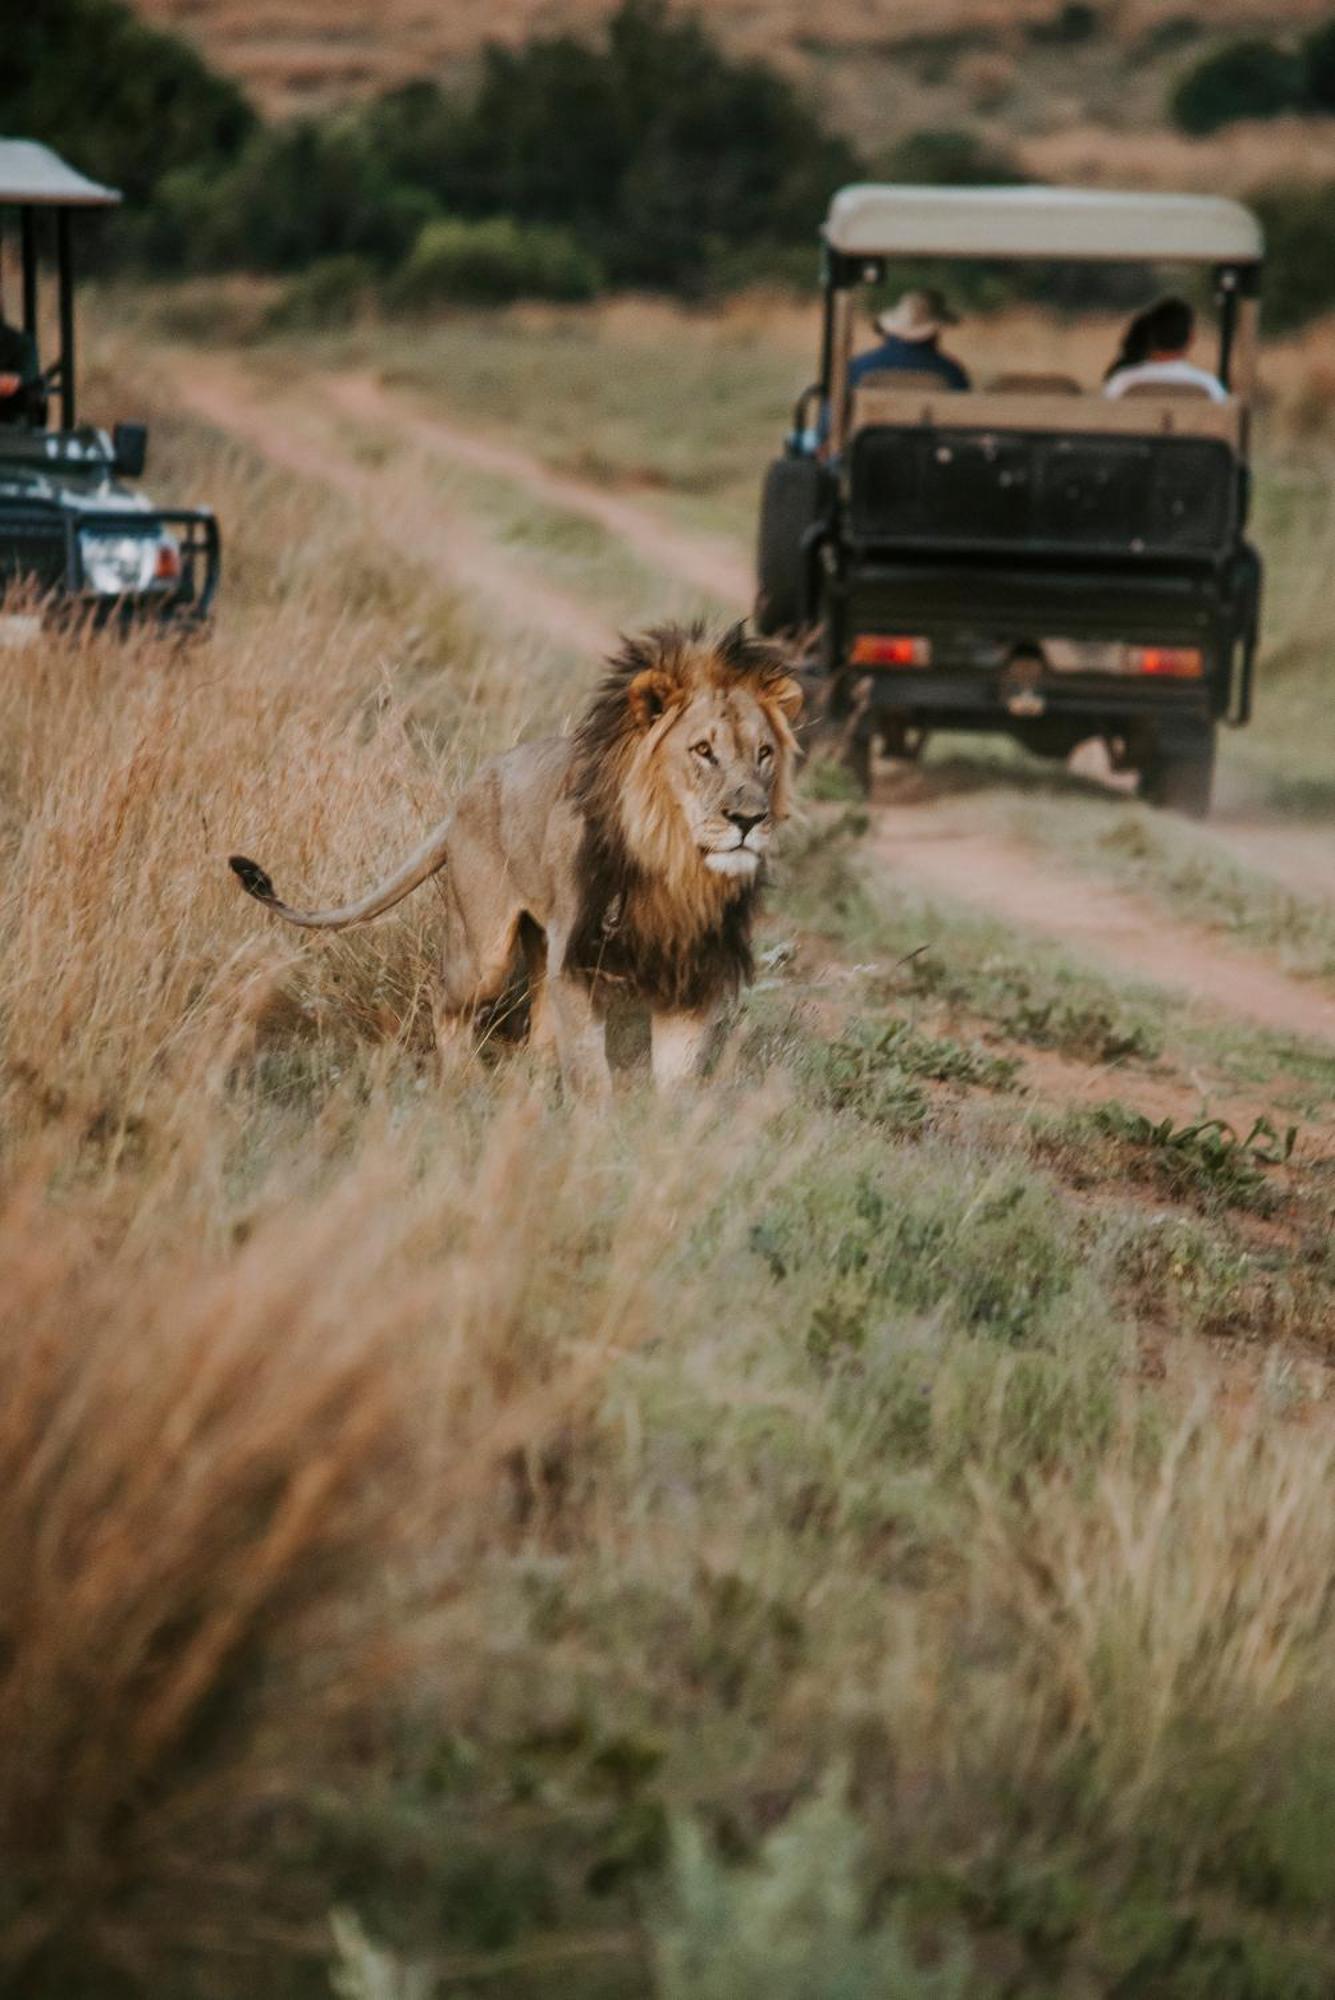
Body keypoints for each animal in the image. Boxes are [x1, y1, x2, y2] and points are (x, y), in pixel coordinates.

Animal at [226, 624, 803, 1096]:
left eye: (764, 754)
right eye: (703, 751)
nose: (748, 819)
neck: (677, 865)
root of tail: (465, 795)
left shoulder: (690, 981)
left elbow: (675, 1083)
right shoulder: (580, 960)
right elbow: (591, 1076)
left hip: (542, 946)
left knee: (539, 1036)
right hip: (485, 952)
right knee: (446, 1006)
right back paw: (465, 1085)